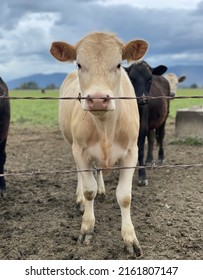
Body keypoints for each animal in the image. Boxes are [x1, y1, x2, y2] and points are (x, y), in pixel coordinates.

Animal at [49, 31, 147, 256]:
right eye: (79, 64)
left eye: (118, 64)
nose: (97, 99)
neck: (105, 127)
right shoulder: (80, 150)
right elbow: (88, 190)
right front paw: (87, 228)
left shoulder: (132, 152)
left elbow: (124, 196)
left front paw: (130, 238)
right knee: (82, 176)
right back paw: (80, 200)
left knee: (98, 171)